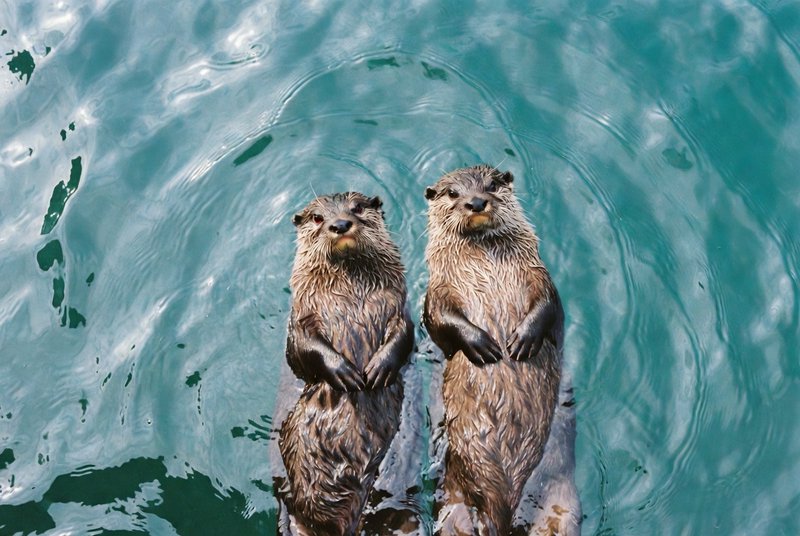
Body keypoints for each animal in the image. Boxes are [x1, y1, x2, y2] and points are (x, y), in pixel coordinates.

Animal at [278, 192, 414, 535]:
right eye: (317, 217)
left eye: (358, 207)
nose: (340, 224)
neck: (349, 293)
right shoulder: (300, 319)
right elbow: (304, 350)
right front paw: (345, 373)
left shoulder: (400, 307)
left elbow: (404, 336)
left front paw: (379, 368)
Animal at [422, 165, 579, 535]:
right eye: (452, 193)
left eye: (492, 185)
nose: (476, 202)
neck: (485, 266)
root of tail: (502, 503)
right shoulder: (438, 290)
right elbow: (439, 317)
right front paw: (482, 344)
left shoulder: (538, 274)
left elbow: (547, 303)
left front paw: (522, 339)